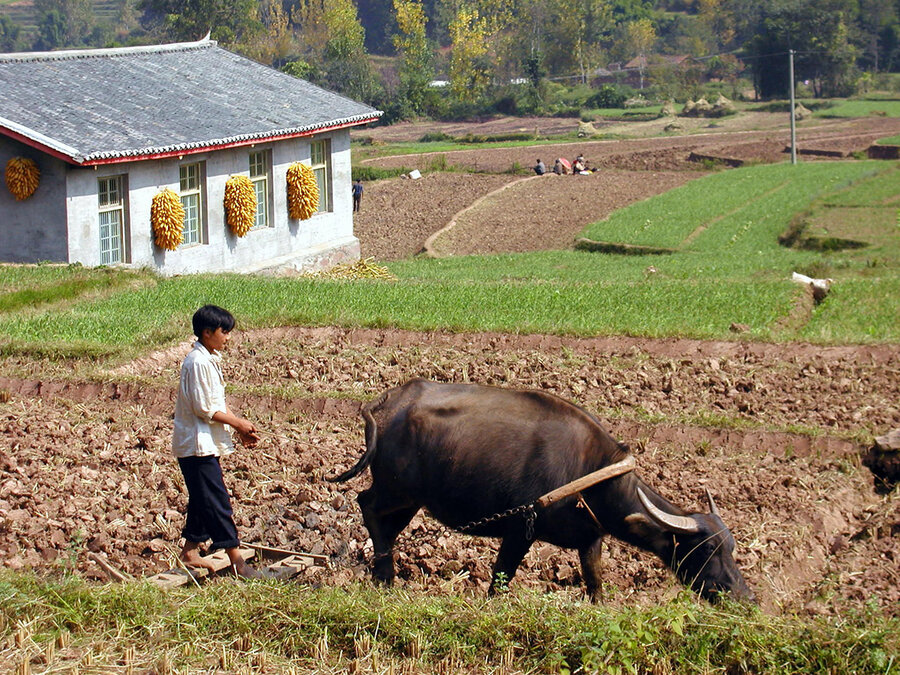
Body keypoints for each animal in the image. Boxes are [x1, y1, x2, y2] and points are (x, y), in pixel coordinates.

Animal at [330, 378, 752, 604]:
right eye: (704, 550)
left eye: (731, 548)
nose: (745, 597)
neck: (589, 474)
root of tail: (389, 401)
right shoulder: (520, 530)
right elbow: (500, 580)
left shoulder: (591, 539)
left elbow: (595, 582)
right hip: (396, 491)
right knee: (366, 505)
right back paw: (384, 573)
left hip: (411, 501)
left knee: (384, 525)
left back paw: (383, 574)